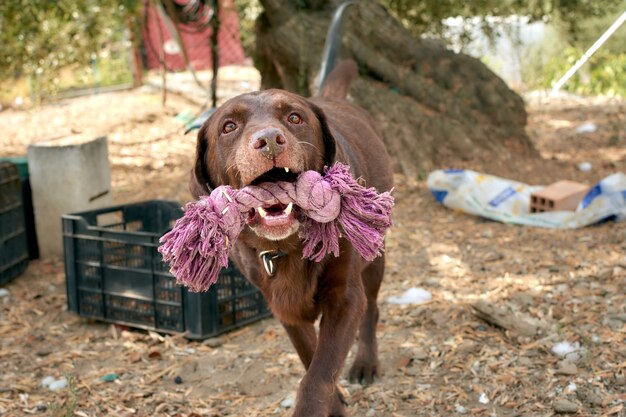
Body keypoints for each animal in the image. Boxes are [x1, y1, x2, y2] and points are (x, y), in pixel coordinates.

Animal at [188, 60, 390, 414]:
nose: (269, 139)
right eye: (229, 126)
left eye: (294, 118)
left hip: (374, 258)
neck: (287, 246)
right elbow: (311, 359)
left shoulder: (345, 299)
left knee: (372, 309)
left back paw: (365, 362)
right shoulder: (284, 308)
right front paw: (334, 405)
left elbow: (317, 376)